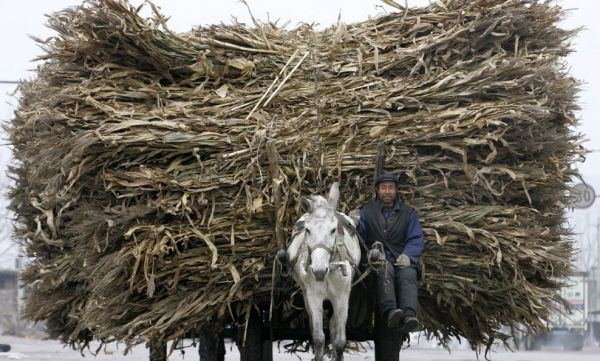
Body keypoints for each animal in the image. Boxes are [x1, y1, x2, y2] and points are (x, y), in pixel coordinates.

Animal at [286, 183, 360, 360]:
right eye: (307, 230)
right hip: (305, 293)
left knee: (333, 327)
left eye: (333, 230)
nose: (319, 271)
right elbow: (319, 338)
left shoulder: (342, 298)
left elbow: (339, 341)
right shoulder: (314, 296)